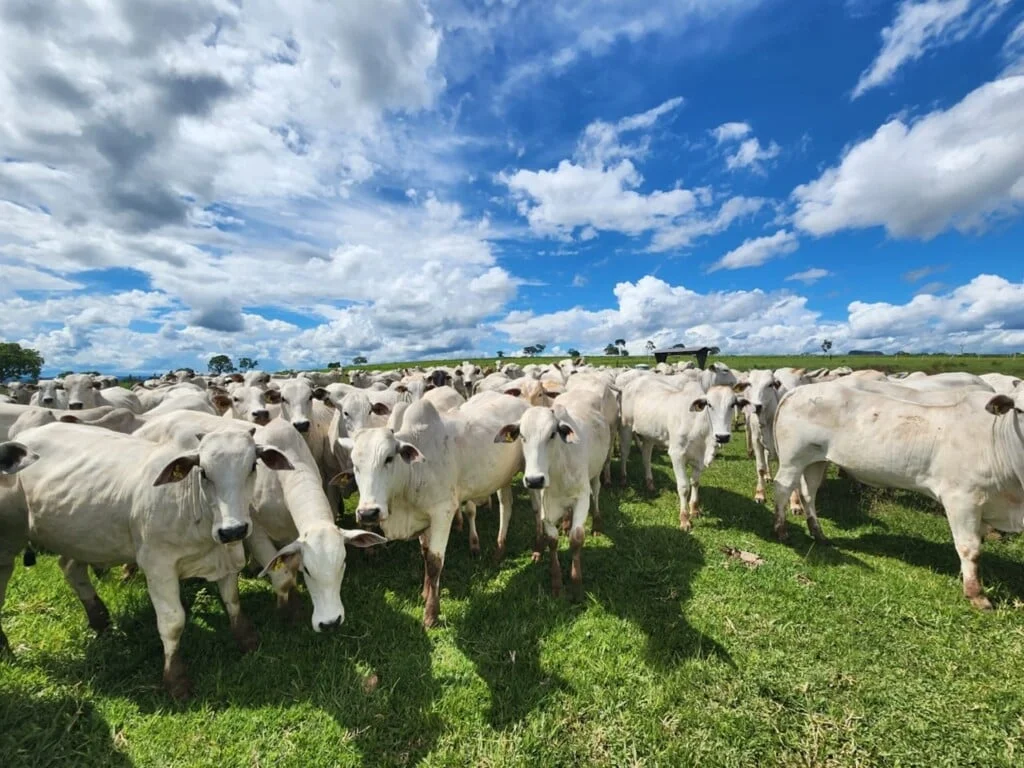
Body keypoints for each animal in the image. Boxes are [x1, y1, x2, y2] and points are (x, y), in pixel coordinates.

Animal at [0, 423, 294, 697]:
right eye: (204, 472)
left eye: (252, 467)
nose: (233, 530)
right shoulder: (158, 565)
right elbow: (173, 622)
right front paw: (176, 680)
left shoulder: (225, 557)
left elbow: (232, 601)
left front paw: (247, 640)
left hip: (82, 538)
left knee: (71, 569)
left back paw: (100, 620)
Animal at [494, 390, 610, 596]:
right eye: (522, 436)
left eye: (553, 434)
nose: (534, 480)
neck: (557, 469)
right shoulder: (545, 505)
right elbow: (552, 540)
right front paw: (556, 582)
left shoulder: (581, 498)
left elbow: (576, 539)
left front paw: (576, 583)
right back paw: (565, 523)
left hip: (597, 471)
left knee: (596, 493)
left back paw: (596, 524)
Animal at [772, 380, 1024, 609]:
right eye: (1019, 410)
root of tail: (799, 389)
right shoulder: (962, 498)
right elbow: (970, 548)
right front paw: (976, 594)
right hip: (793, 459)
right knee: (783, 488)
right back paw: (781, 530)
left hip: (817, 461)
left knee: (809, 494)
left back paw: (818, 533)